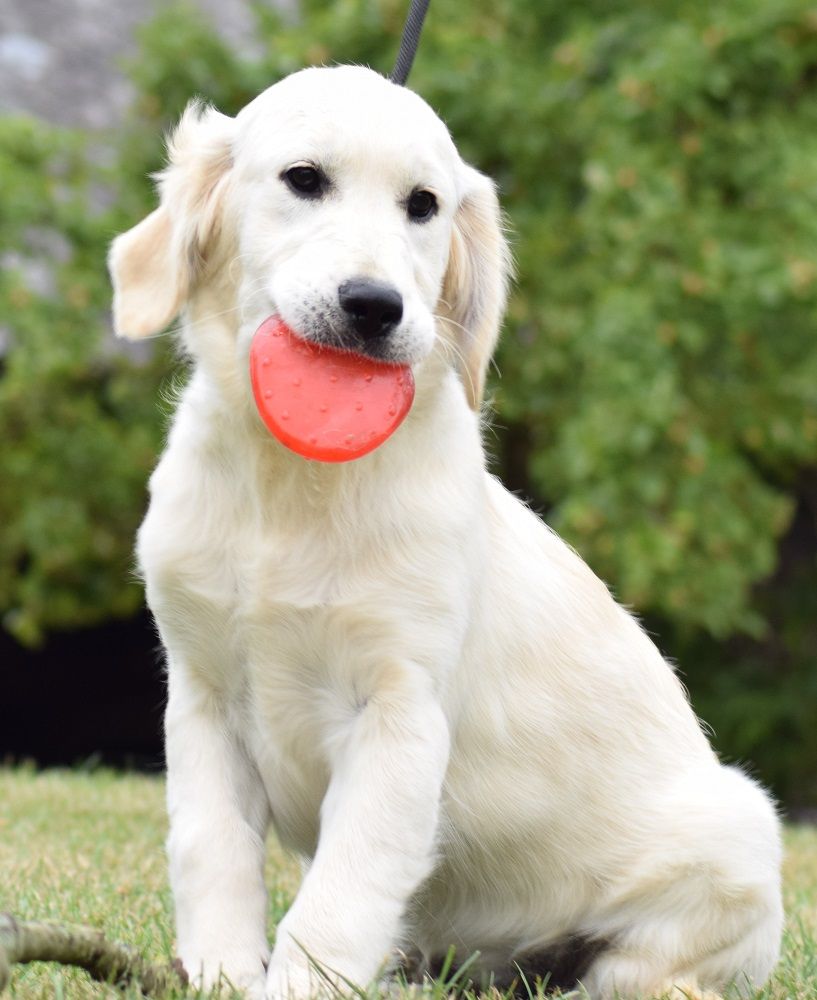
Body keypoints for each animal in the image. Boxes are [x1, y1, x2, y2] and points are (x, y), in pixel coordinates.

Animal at [105, 66, 780, 996]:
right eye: (303, 179)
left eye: (422, 205)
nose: (373, 306)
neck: (292, 485)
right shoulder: (202, 693)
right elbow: (212, 847)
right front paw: (221, 970)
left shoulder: (400, 709)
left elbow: (341, 893)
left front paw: (293, 982)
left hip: (737, 830)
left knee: (644, 965)